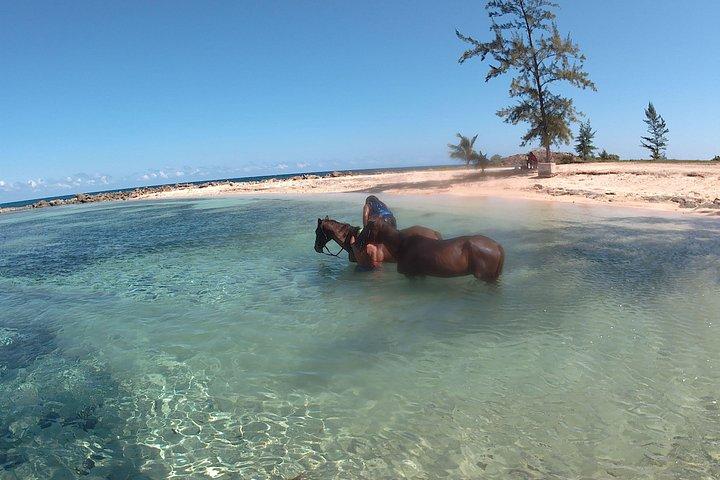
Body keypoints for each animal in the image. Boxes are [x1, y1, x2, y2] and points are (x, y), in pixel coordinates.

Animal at [356, 220, 504, 281]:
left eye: (367, 228)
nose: (356, 242)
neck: (401, 244)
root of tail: (497, 245)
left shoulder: (410, 274)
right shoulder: (421, 274)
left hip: (484, 275)